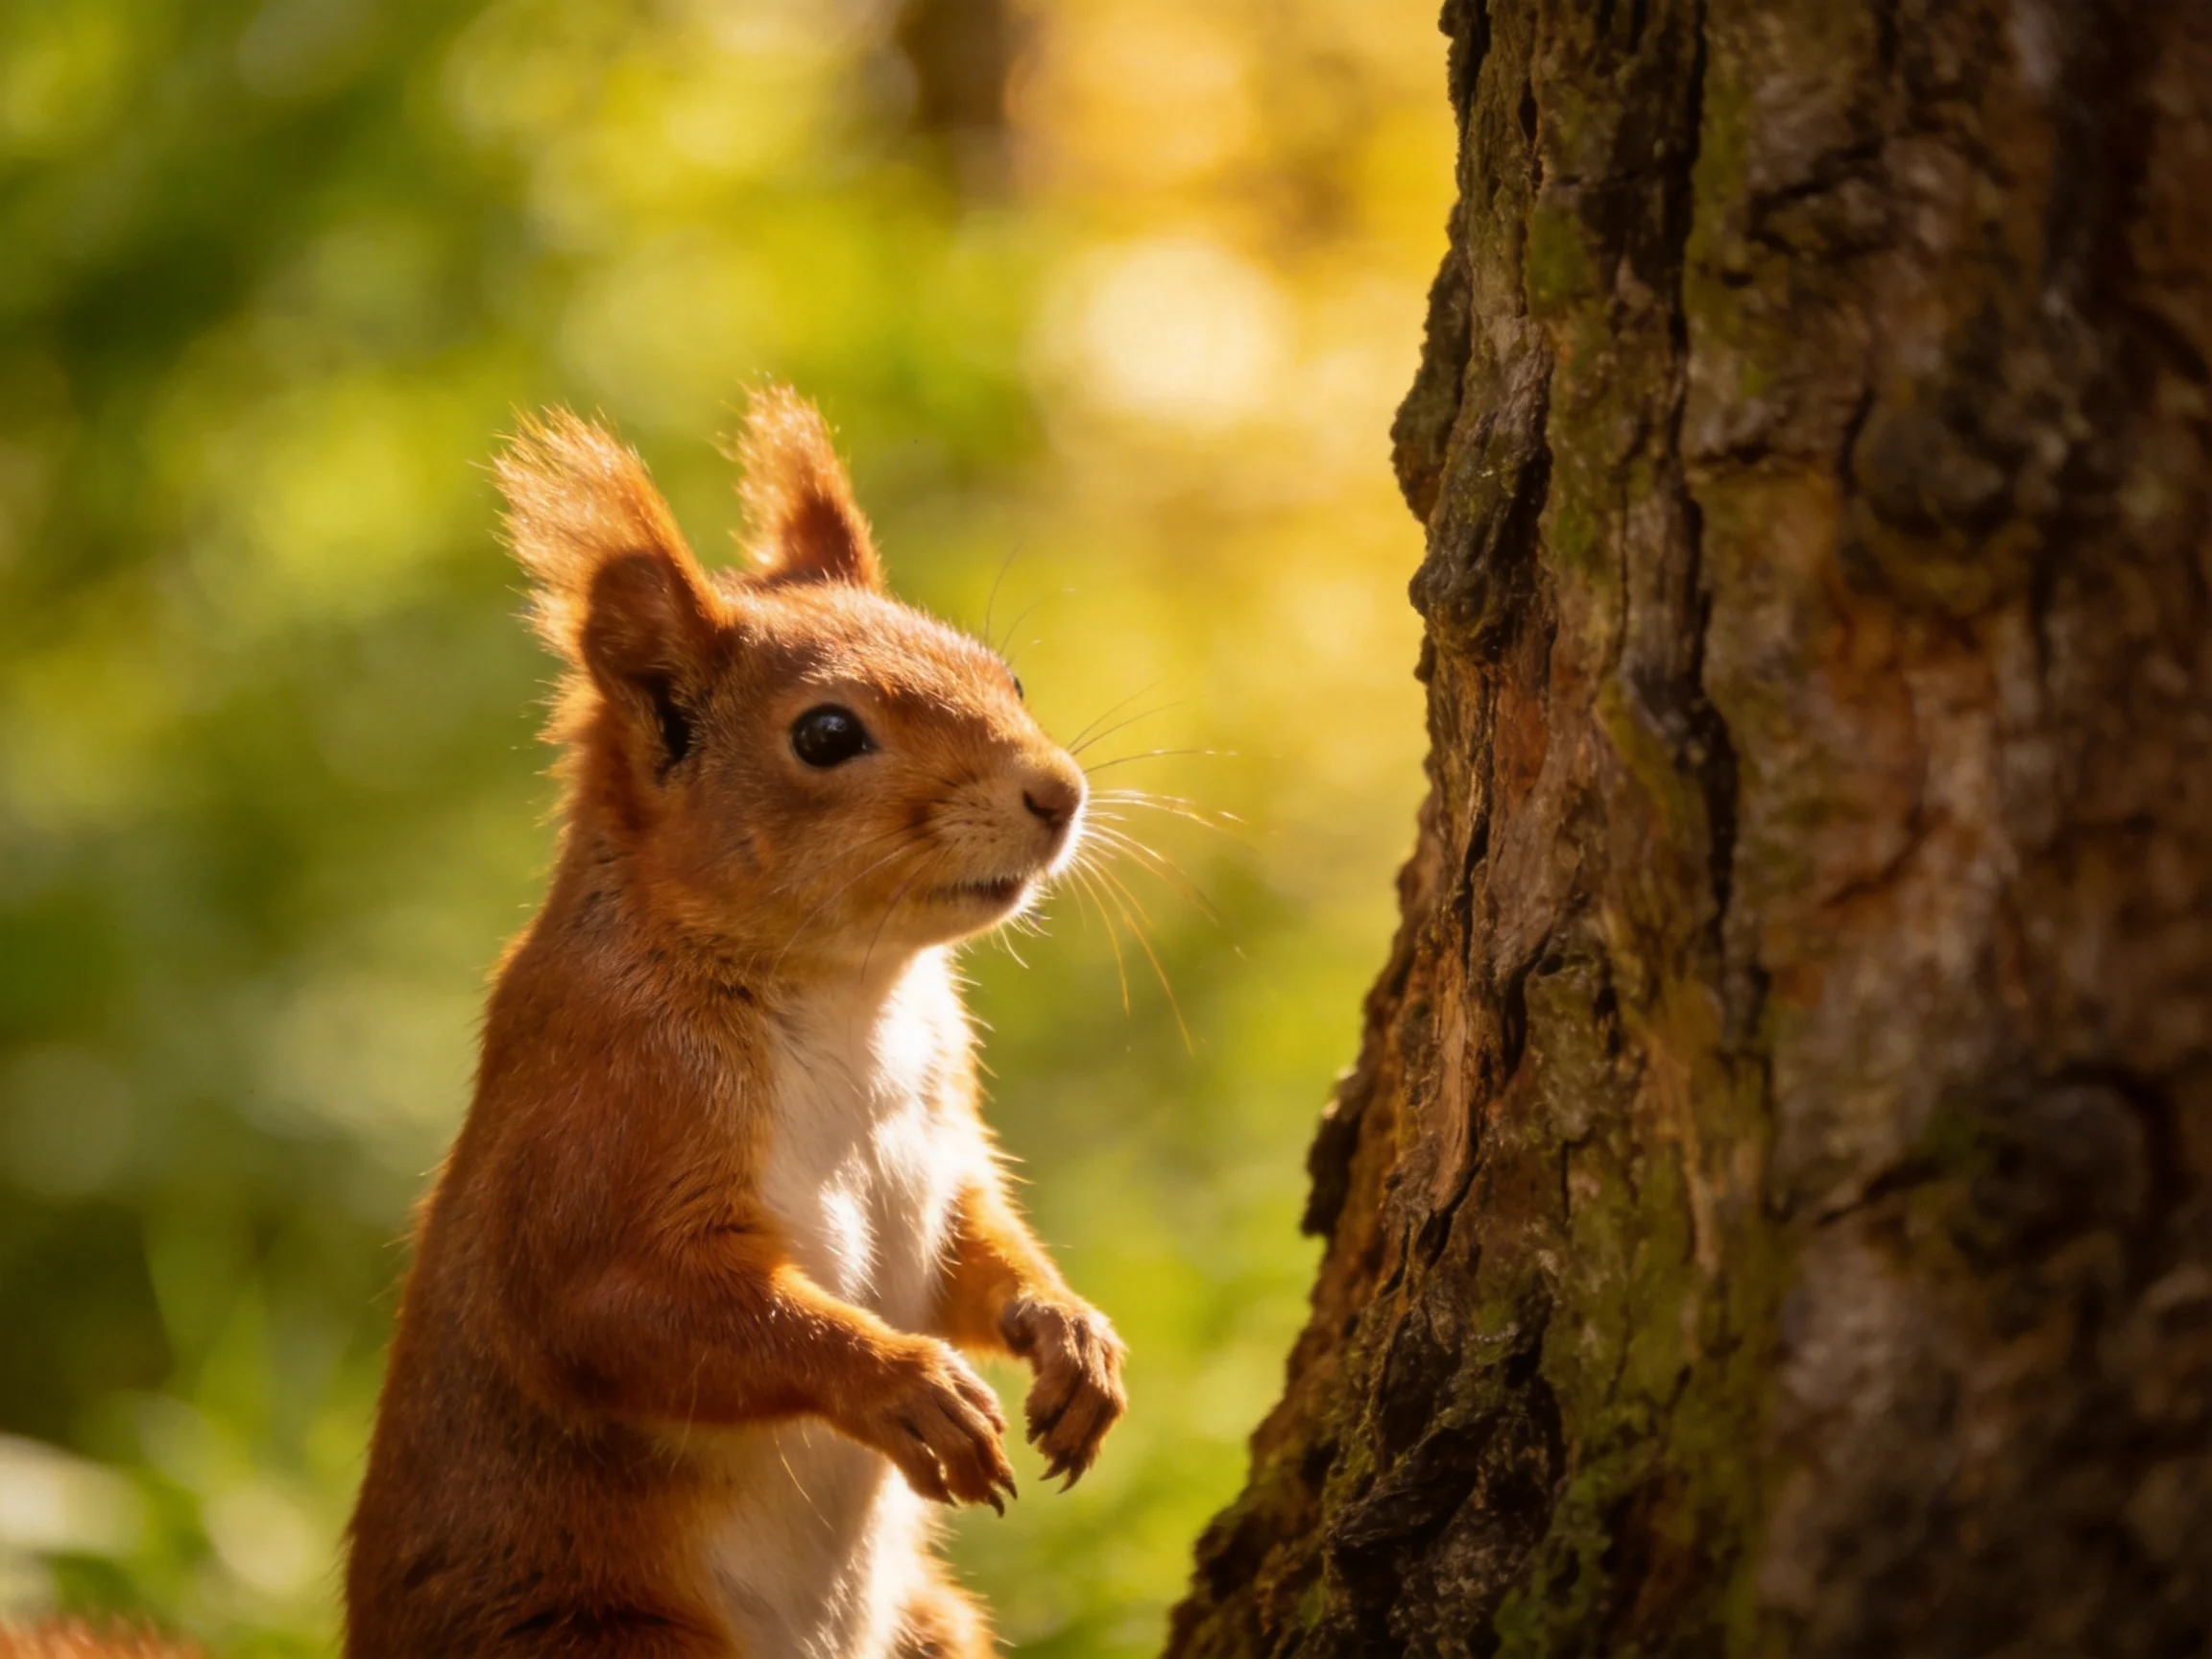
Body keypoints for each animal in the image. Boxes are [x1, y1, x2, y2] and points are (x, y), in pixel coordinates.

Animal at [337, 390, 1128, 1658]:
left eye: (1004, 674)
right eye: (825, 736)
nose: (1058, 792)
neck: (850, 993)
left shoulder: (942, 1133)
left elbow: (975, 1246)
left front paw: (1071, 1335)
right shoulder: (602, 1114)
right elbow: (619, 1311)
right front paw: (900, 1383)